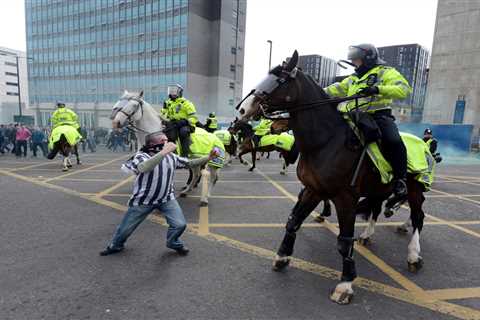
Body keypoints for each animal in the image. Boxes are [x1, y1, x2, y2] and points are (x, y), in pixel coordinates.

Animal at [238, 50, 430, 304]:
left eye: (280, 80)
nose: (243, 110)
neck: (326, 142)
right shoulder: (313, 190)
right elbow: (293, 222)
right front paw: (282, 257)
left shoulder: (345, 197)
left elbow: (344, 240)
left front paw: (345, 284)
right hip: (379, 189)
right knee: (377, 209)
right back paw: (368, 235)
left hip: (414, 188)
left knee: (418, 217)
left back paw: (413, 255)